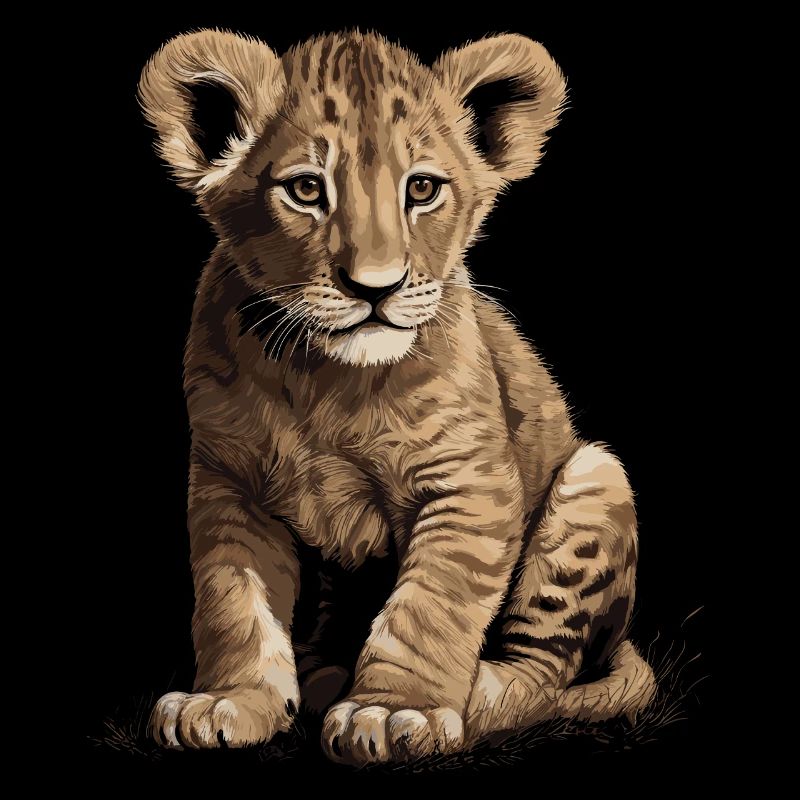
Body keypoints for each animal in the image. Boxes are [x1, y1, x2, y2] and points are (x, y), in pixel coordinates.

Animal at [138, 28, 656, 764]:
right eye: (306, 189)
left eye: (422, 189)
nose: (375, 287)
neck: (326, 377)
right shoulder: (226, 482)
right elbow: (232, 604)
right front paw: (229, 701)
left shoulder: (469, 484)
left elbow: (427, 607)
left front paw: (391, 709)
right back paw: (323, 676)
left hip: (594, 476)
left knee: (545, 671)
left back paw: (478, 695)